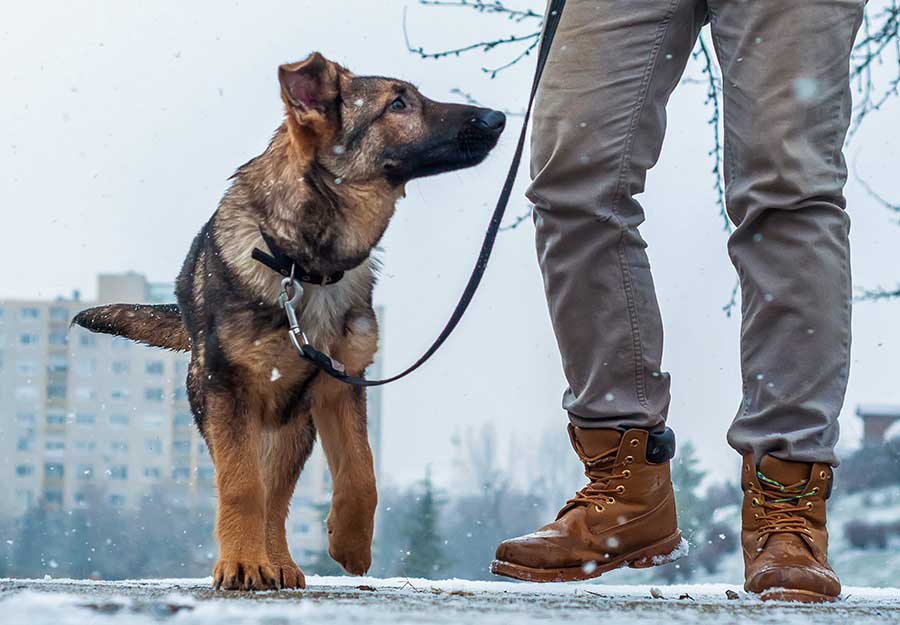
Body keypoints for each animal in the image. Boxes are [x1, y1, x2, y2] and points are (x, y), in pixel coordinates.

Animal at [73, 52, 502, 588]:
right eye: (398, 104)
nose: (498, 118)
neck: (303, 264)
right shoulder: (228, 390)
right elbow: (241, 486)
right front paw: (240, 561)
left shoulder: (341, 383)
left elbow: (361, 472)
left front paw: (350, 543)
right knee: (256, 486)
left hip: (293, 427)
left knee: (277, 497)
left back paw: (277, 561)